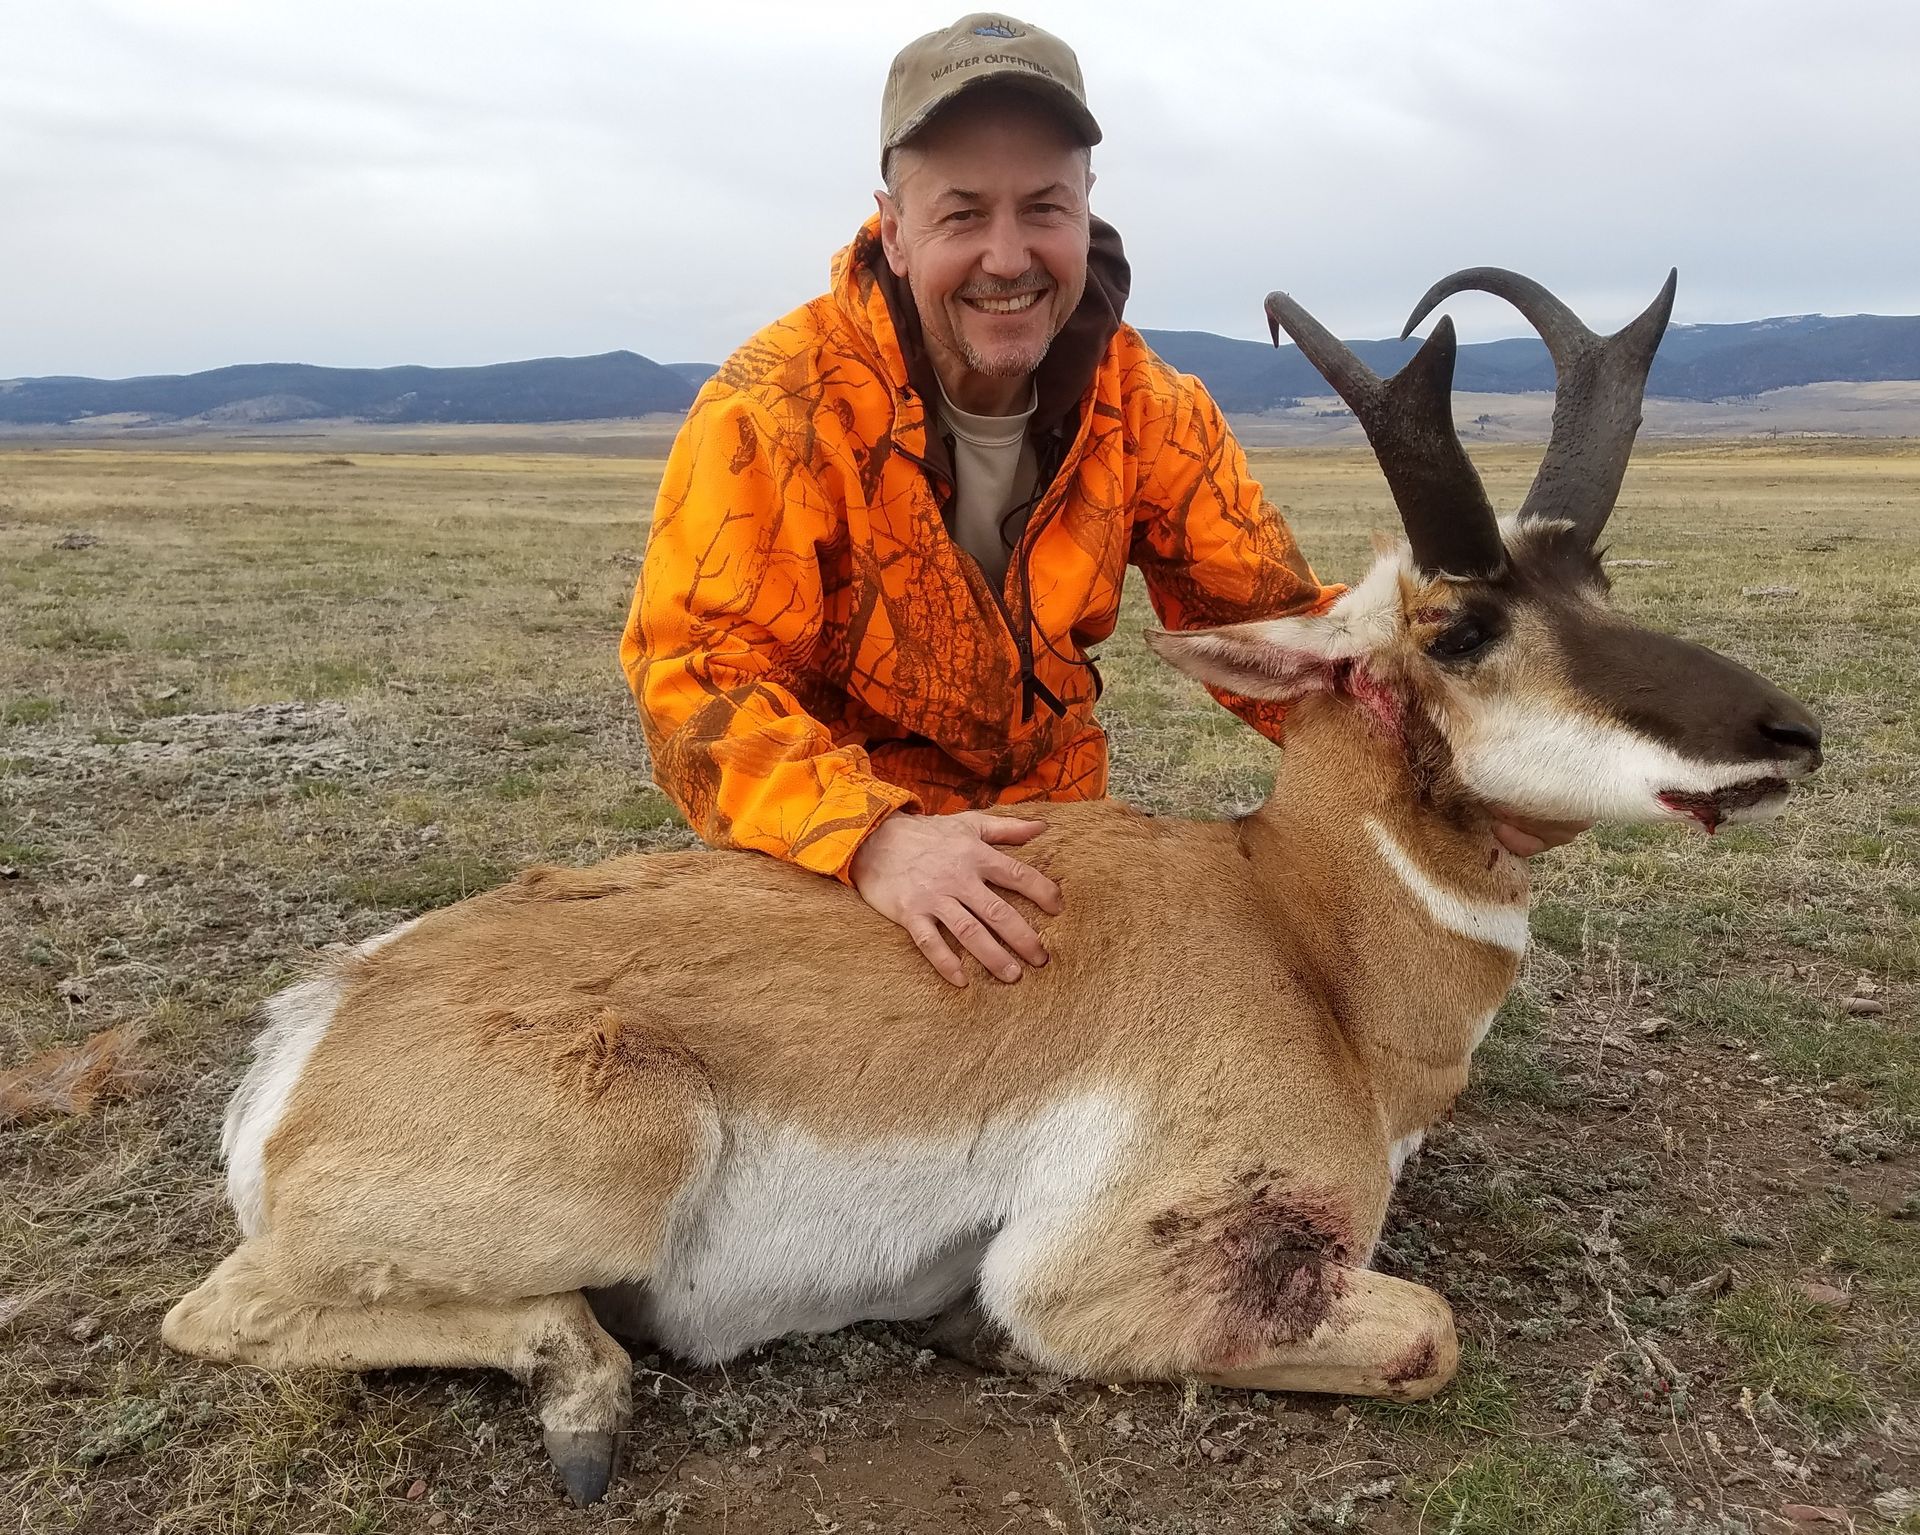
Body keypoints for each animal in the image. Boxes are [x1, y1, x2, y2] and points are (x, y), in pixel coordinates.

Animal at [164, 270, 1821, 1505]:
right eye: (1465, 627)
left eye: (1601, 583)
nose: (1791, 732)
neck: (1297, 932)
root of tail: (319, 1018)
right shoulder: (1101, 1268)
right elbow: (1429, 1330)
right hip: (632, 1147)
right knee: (223, 1310)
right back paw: (584, 1396)